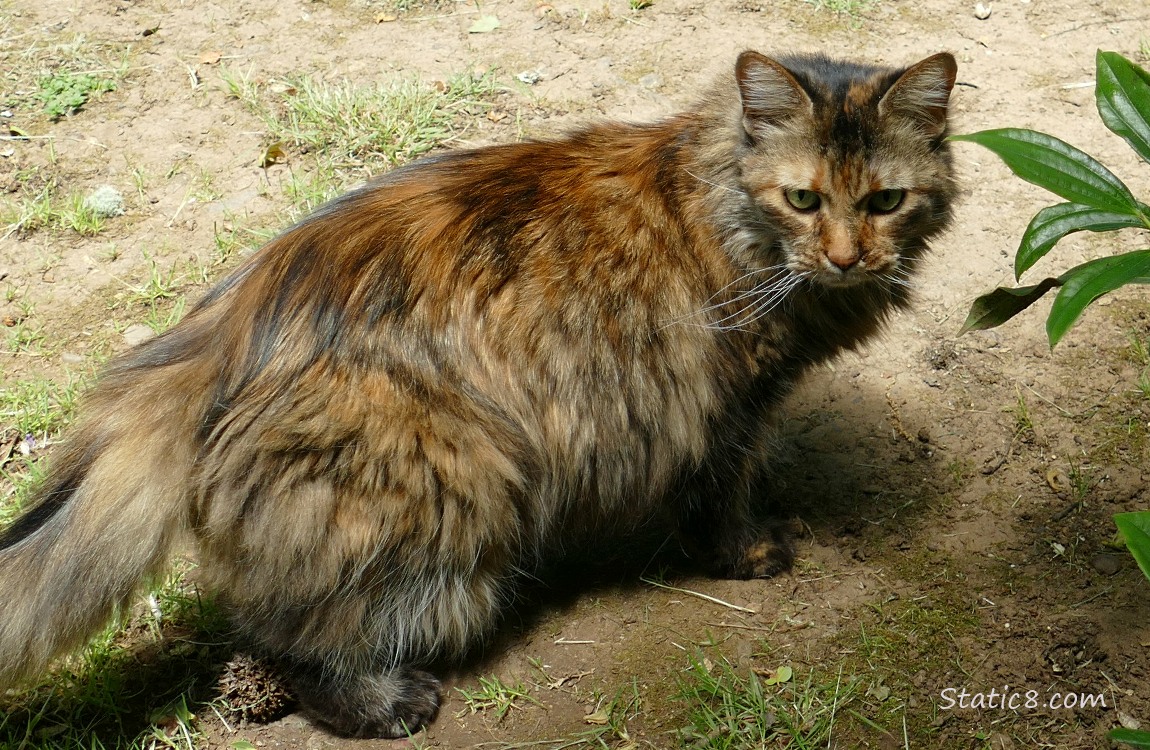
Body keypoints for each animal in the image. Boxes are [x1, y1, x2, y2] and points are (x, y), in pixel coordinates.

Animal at [0, 49, 952, 736]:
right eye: (803, 199)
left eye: (885, 201)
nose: (847, 258)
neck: (715, 202)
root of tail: (231, 317)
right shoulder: (727, 410)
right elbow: (724, 497)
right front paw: (751, 553)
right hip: (454, 490)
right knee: (294, 637)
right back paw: (387, 705)